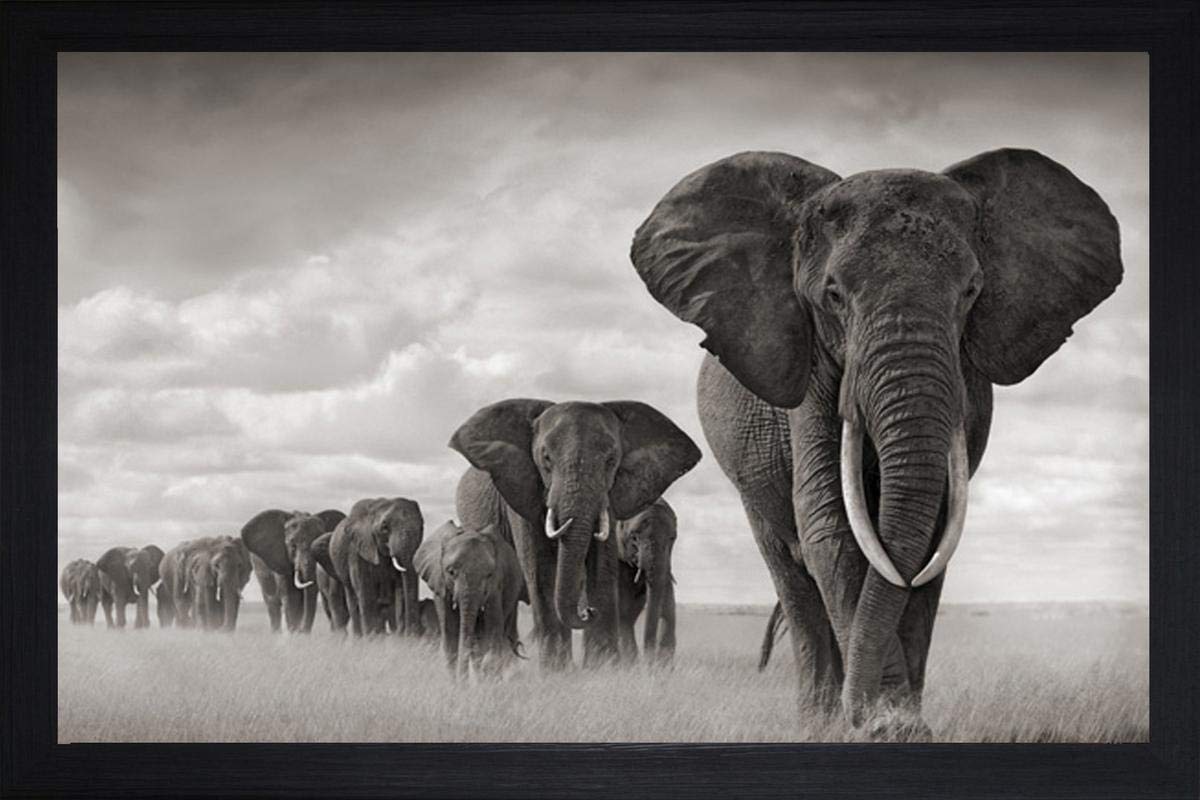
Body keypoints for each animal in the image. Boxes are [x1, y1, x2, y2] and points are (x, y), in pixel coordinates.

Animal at [325, 498, 424, 636]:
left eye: (422, 527)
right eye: (384, 527)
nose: (413, 633)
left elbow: (400, 590)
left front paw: (399, 639)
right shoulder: (357, 551)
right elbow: (364, 589)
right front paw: (371, 638)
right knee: (353, 599)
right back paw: (360, 637)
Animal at [413, 520, 527, 678]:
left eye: (489, 575)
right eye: (451, 572)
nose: (463, 681)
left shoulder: (495, 586)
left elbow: (492, 629)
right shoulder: (440, 584)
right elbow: (450, 633)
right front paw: (456, 683)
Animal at [615, 498, 678, 665]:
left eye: (672, 538)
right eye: (634, 537)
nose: (649, 663)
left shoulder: (666, 563)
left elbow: (669, 609)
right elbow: (622, 612)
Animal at [630, 148, 1122, 735]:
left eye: (971, 292)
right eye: (834, 295)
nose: (865, 715)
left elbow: (932, 533)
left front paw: (901, 725)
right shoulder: (812, 371)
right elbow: (832, 526)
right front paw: (885, 726)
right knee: (792, 576)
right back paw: (819, 722)